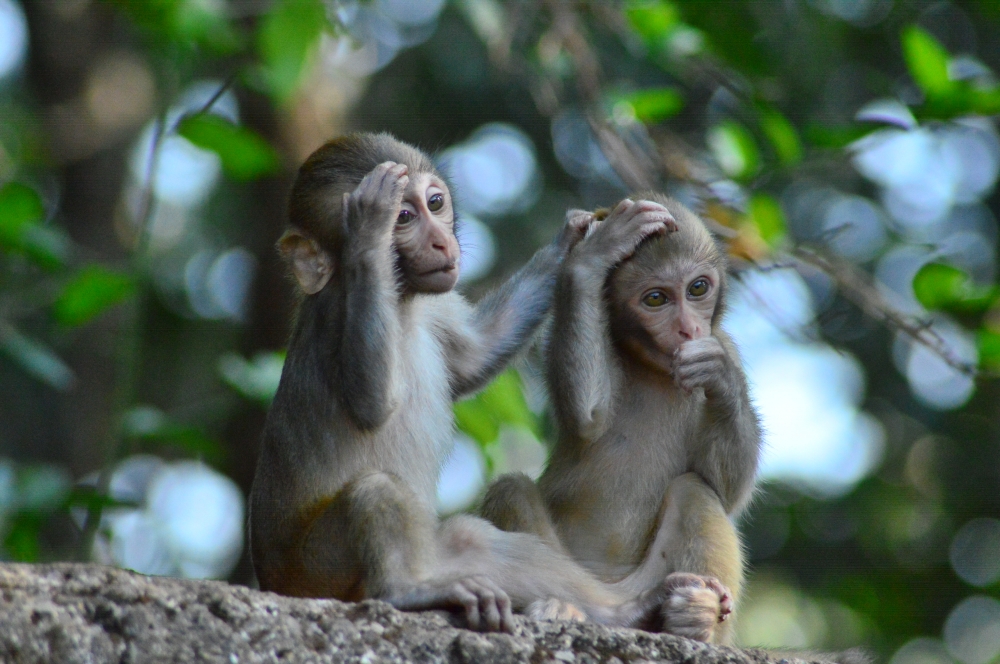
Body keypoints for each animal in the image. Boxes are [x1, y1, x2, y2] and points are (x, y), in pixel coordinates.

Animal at [248, 133, 680, 633]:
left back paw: (626, 610)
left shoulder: (435, 309)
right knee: (375, 491)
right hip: (319, 574)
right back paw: (405, 592)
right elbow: (372, 402)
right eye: (403, 217)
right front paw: (368, 233)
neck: (402, 303)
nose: (440, 242)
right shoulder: (336, 313)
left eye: (435, 203)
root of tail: (276, 583)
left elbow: (478, 354)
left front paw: (583, 246)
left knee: (471, 537)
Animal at [481, 194, 761, 644]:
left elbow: (726, 490)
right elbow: (587, 416)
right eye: (656, 299)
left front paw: (719, 375)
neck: (651, 366)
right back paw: (565, 607)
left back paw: (693, 620)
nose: (688, 329)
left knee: (694, 492)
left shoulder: (725, 343)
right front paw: (594, 252)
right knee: (511, 490)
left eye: (697, 288)